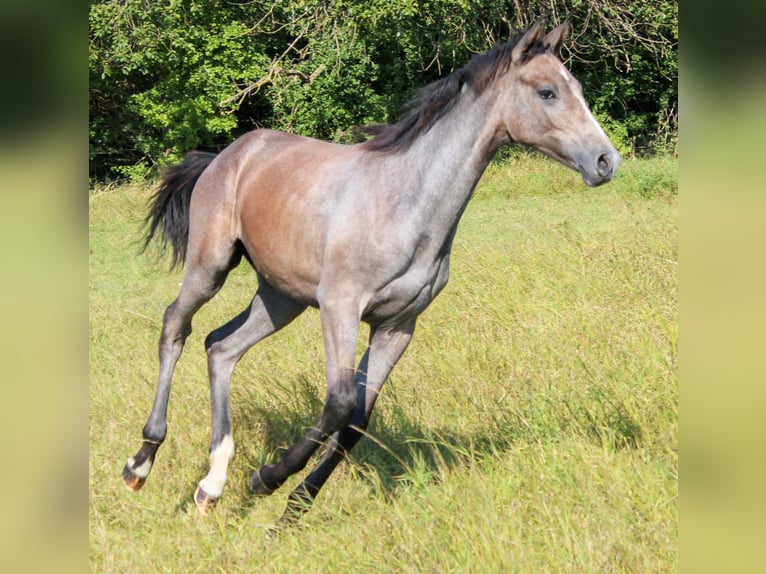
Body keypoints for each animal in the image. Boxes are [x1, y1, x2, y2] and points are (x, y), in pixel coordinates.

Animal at [123, 16, 620, 532]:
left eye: (578, 89)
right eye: (547, 92)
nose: (606, 161)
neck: (406, 203)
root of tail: (228, 155)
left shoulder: (397, 325)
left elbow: (357, 420)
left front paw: (293, 509)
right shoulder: (341, 307)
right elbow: (339, 402)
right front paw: (268, 478)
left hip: (282, 298)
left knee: (221, 348)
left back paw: (212, 484)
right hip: (211, 265)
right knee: (176, 326)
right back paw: (141, 463)